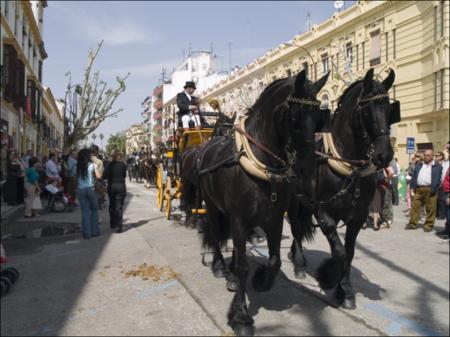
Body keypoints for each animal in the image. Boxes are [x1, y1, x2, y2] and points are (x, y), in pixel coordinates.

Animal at [193, 70, 330, 334]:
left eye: (319, 116)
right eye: (295, 117)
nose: (307, 170)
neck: (262, 164)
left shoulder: (274, 219)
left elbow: (274, 260)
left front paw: (261, 280)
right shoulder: (238, 220)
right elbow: (243, 265)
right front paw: (241, 316)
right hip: (213, 207)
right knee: (215, 234)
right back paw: (220, 267)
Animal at [286, 68, 400, 310]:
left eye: (389, 109)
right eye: (366, 110)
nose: (384, 156)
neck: (348, 166)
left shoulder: (357, 217)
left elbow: (348, 252)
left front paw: (344, 290)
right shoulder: (324, 214)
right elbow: (338, 252)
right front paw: (330, 279)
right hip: (293, 201)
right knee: (296, 228)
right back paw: (299, 263)